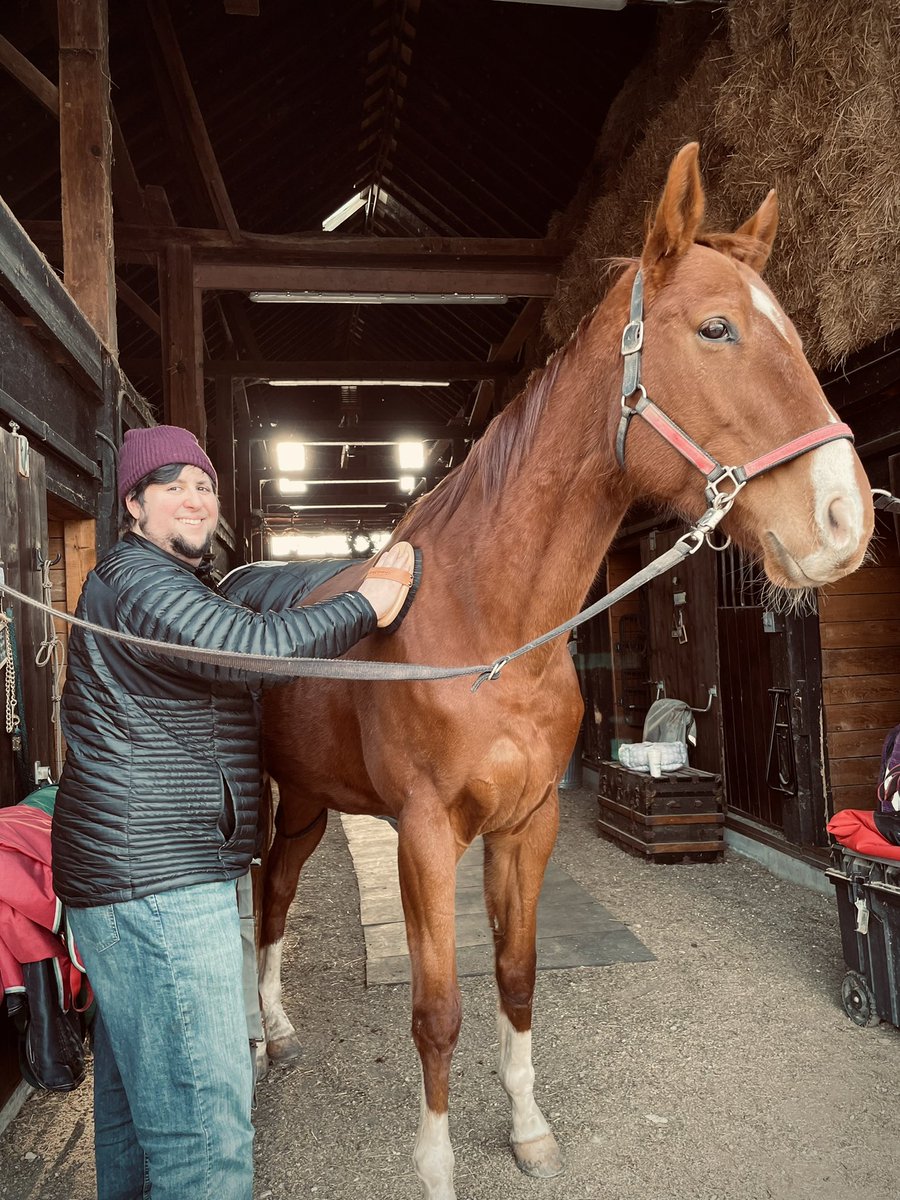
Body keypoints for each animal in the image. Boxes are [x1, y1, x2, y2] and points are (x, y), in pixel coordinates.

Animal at [254, 145, 873, 1195]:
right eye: (716, 328)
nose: (846, 517)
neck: (489, 634)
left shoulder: (528, 823)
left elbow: (516, 978)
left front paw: (529, 1129)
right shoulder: (425, 836)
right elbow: (437, 1011)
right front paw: (435, 1164)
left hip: (307, 798)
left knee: (279, 893)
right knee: (266, 897)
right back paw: (267, 1031)